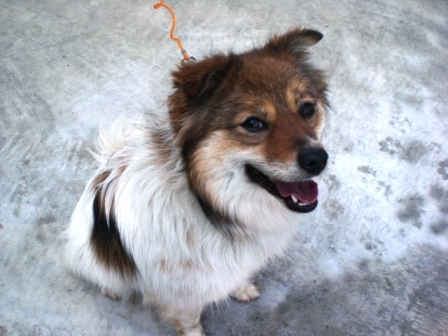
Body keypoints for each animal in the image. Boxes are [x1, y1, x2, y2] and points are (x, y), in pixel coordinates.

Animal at [65, 27, 328, 334]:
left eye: (307, 109)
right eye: (253, 123)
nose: (318, 159)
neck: (210, 205)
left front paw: (240, 288)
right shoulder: (181, 293)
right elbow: (190, 321)